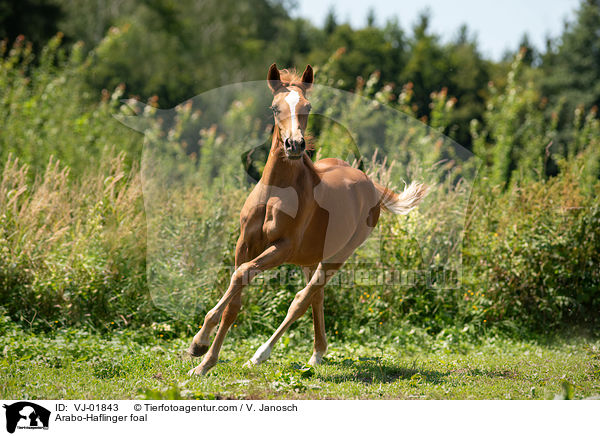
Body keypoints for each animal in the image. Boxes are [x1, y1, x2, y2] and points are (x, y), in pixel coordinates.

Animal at [188, 63, 426, 374]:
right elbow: (234, 300)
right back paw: (316, 353)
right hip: (310, 257)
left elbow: (242, 276)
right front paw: (204, 361)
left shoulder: (283, 248)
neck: (276, 193)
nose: (294, 145)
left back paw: (261, 354)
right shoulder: (245, 244)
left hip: (337, 256)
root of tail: (371, 184)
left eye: (308, 106)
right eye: (275, 107)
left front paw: (199, 344)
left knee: (302, 299)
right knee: (316, 297)